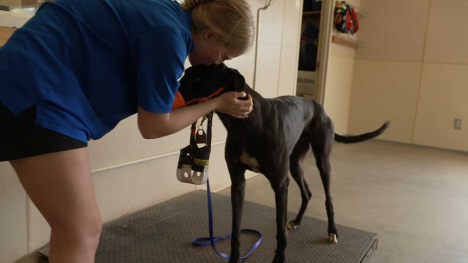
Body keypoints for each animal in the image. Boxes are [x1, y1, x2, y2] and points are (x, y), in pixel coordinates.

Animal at [177, 64, 390, 263]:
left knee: (328, 198)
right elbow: (235, 229)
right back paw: (296, 221)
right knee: (307, 193)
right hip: (295, 164)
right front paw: (234, 258)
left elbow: (280, 231)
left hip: (322, 162)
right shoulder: (238, 182)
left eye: (196, 78)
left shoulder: (280, 184)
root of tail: (320, 108)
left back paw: (332, 231)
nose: (173, 93)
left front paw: (279, 257)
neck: (249, 121)